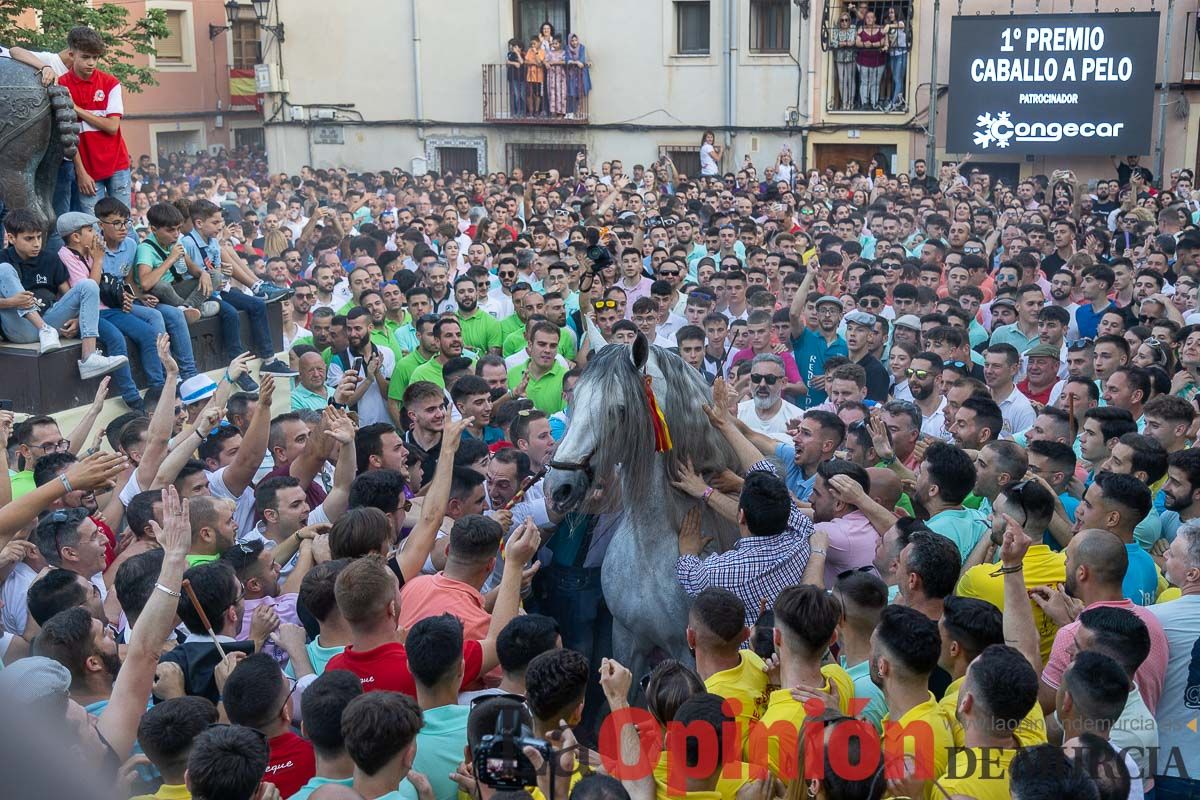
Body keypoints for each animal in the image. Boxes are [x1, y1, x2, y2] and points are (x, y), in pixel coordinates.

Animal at [544, 331, 739, 690]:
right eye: (573, 399)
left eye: (619, 410)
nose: (558, 487)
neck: (652, 545)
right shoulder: (626, 640)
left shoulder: (687, 650)